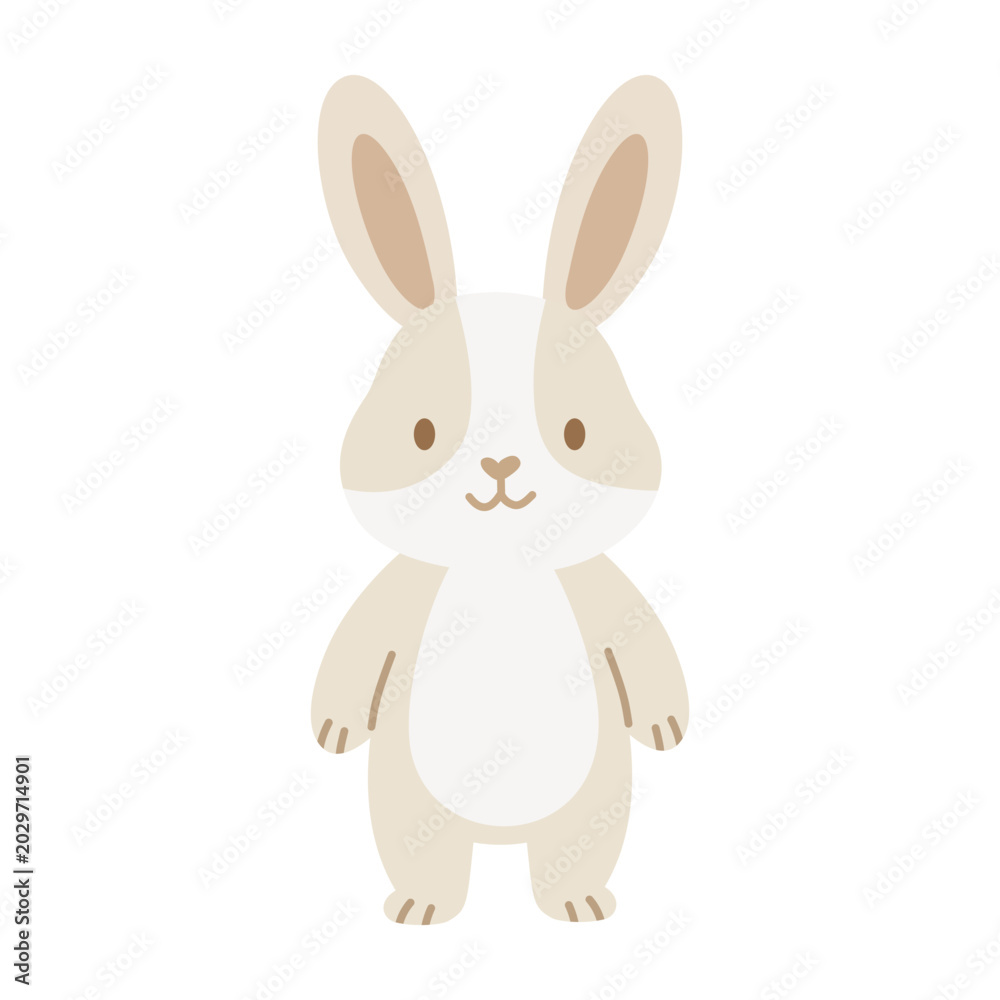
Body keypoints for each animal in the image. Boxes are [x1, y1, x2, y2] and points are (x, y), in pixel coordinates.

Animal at [311, 75, 688, 925]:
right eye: (422, 432)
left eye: (576, 431)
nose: (501, 465)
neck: (505, 568)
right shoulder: (402, 592)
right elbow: (361, 640)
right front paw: (333, 726)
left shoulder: (598, 589)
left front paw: (666, 722)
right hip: (409, 802)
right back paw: (422, 910)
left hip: (596, 800)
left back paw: (578, 904)